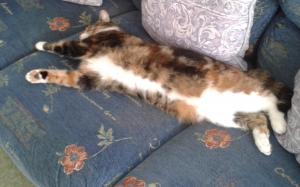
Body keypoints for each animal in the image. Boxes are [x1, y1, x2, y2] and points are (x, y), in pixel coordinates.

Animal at [25, 10, 290, 156]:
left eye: (90, 26)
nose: (82, 31)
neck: (110, 31)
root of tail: (249, 72)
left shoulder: (87, 46)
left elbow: (61, 46)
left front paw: (39, 44)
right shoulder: (87, 78)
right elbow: (61, 76)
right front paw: (35, 75)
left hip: (244, 92)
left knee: (270, 100)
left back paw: (280, 126)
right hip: (224, 116)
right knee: (258, 119)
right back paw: (264, 144)